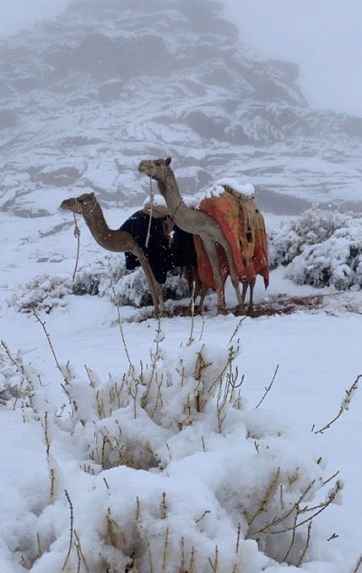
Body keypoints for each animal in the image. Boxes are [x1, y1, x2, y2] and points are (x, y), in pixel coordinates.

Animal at [138, 155, 243, 312]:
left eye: (157, 163)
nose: (141, 165)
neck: (201, 219)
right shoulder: (206, 238)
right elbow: (217, 276)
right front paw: (221, 307)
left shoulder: (223, 238)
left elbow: (233, 275)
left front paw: (239, 306)